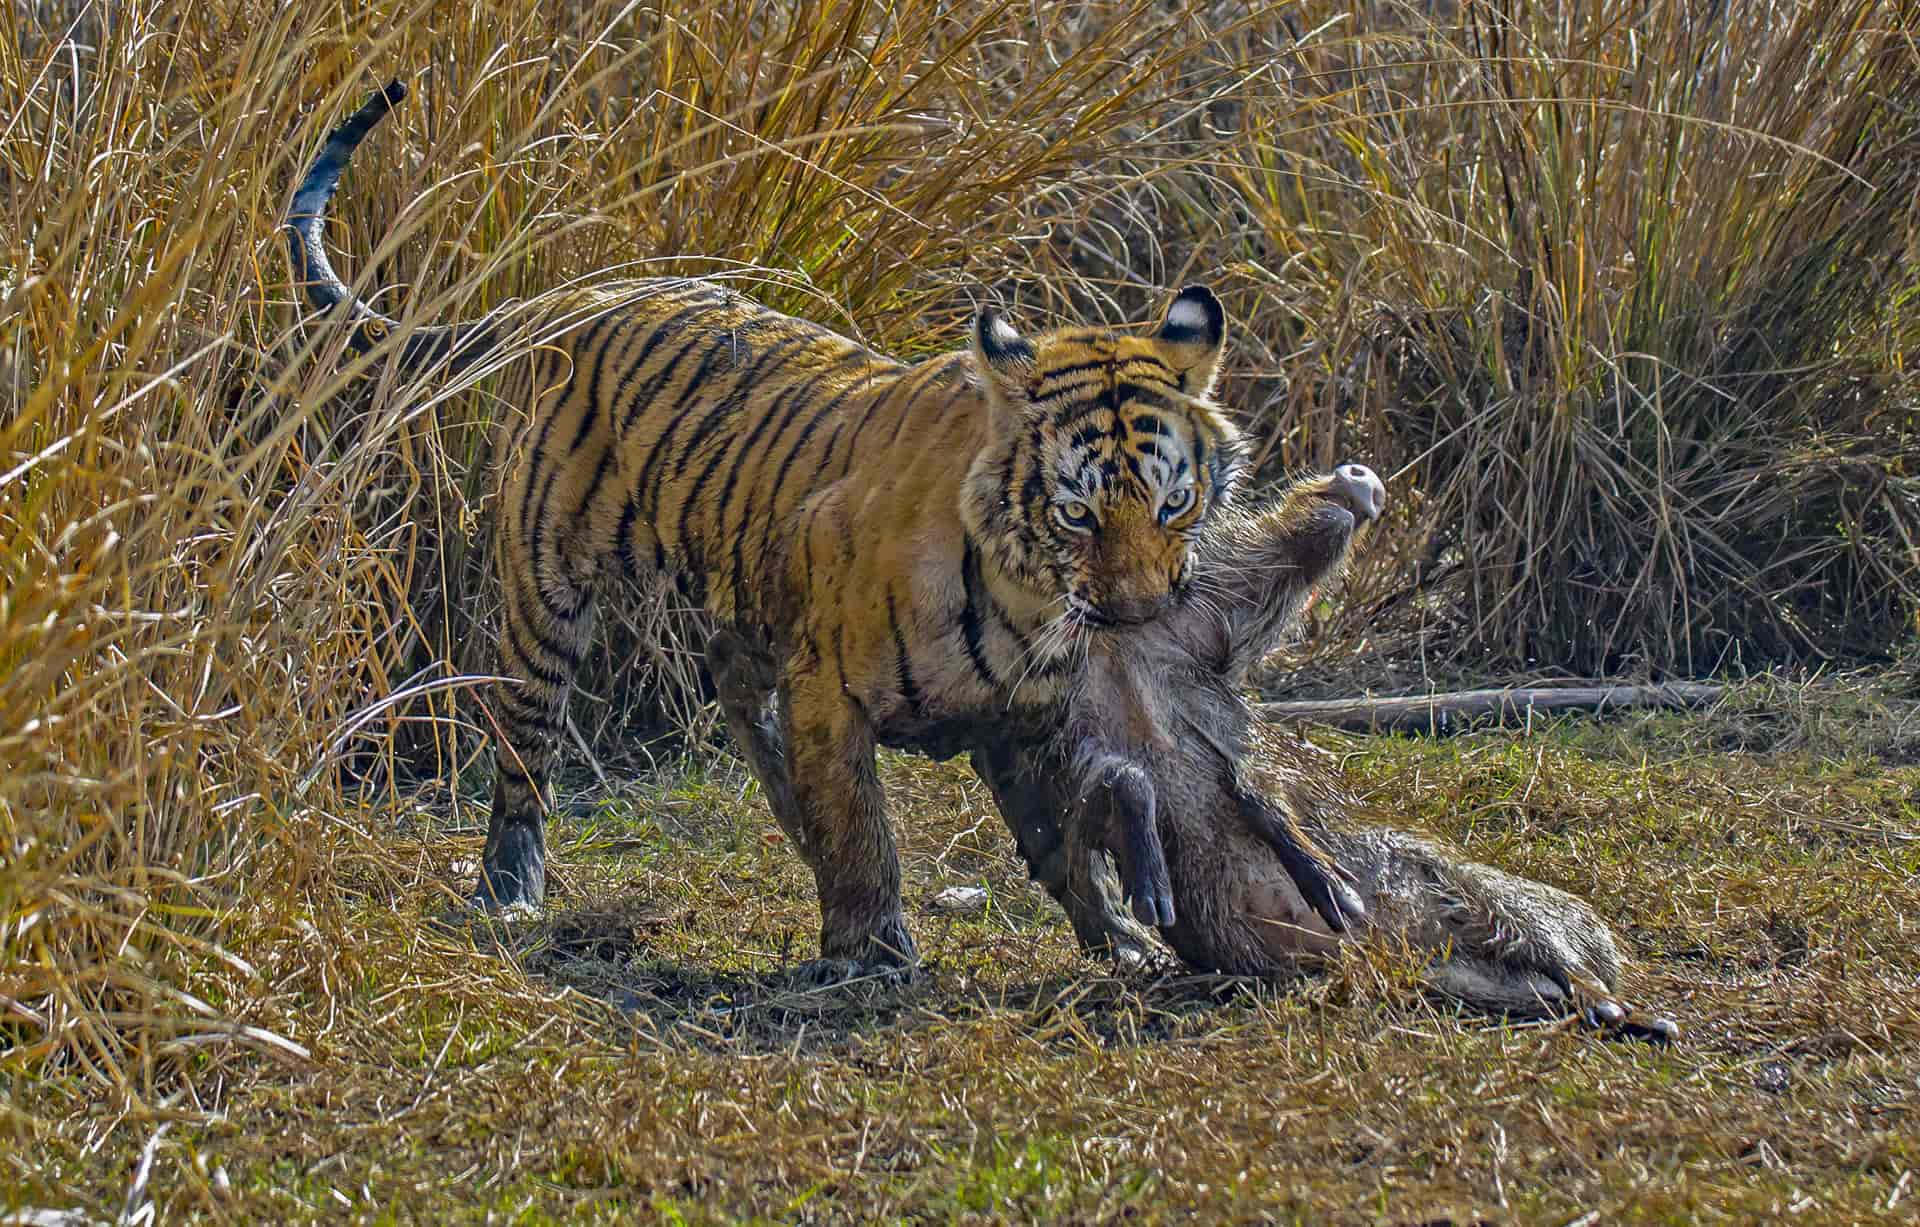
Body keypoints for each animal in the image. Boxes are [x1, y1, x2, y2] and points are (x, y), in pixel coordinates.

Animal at [288, 80, 1352, 971]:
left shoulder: (1023, 721)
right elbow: (860, 824)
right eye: (1078, 512)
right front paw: (872, 946)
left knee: (727, 668)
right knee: (524, 747)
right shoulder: (832, 686)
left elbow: (1061, 835)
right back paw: (511, 887)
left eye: (1175, 502)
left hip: (751, 581)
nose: (1137, 618)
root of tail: (577, 291)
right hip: (550, 587)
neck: (1033, 606)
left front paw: (1121, 934)